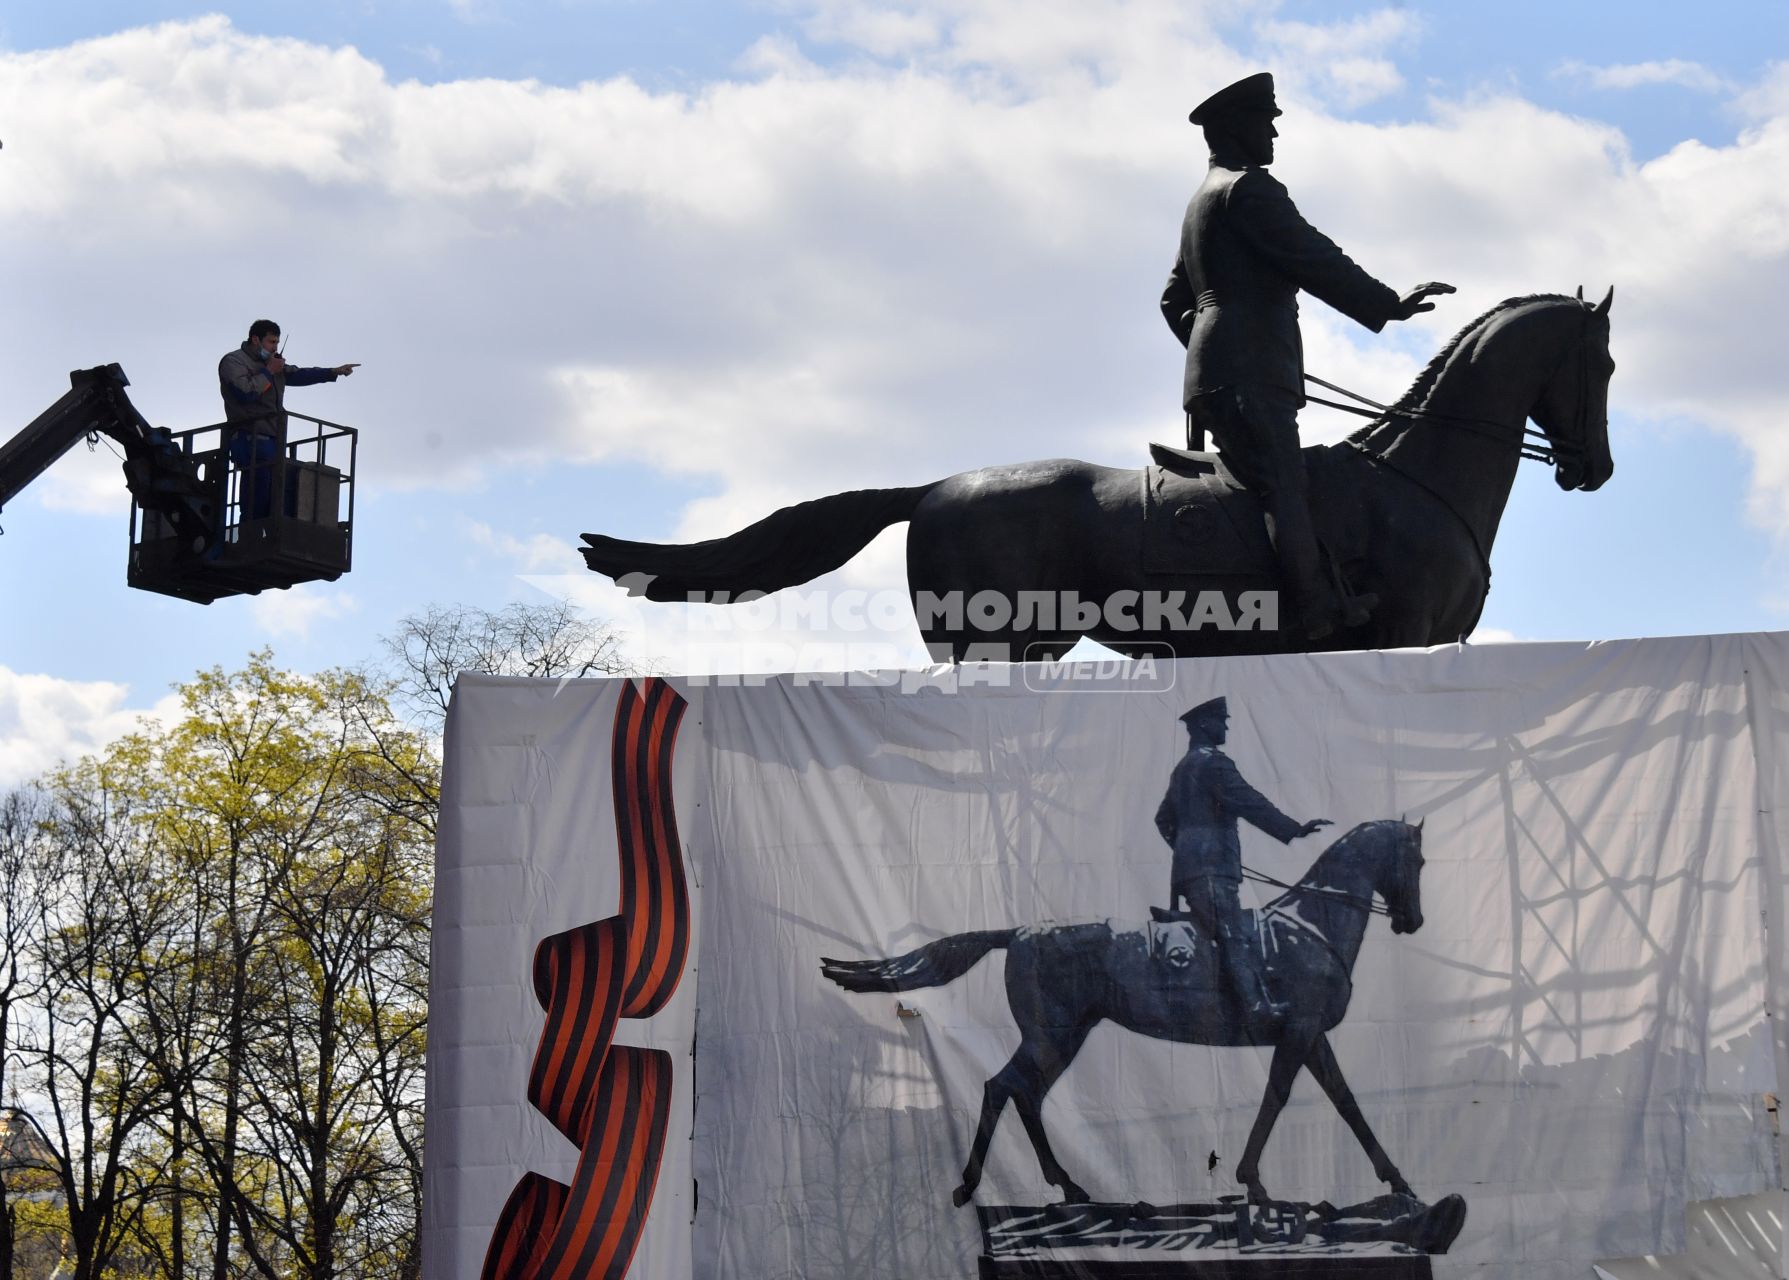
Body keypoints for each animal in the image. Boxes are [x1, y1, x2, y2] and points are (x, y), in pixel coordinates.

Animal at [819, 819, 1424, 1210]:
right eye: (1416, 859)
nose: (1412, 922)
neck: (1311, 923)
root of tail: (1018, 931)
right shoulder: (1297, 1034)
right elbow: (1279, 1099)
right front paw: (1253, 1182)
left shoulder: (1310, 1037)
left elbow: (1344, 1102)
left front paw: (1399, 1181)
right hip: (1054, 1037)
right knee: (1005, 1087)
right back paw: (979, 1186)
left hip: (1064, 1037)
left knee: (1021, 1093)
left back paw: (1063, 1186)